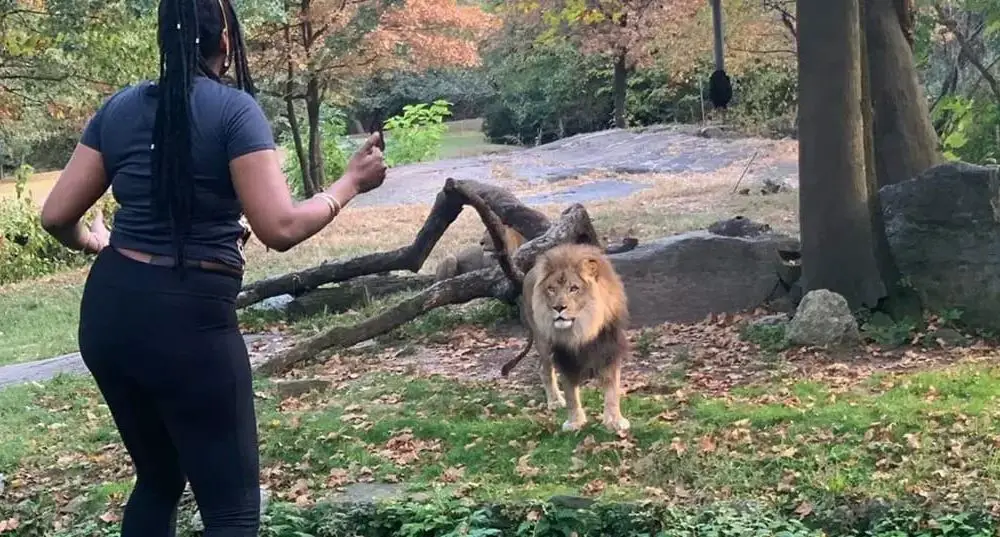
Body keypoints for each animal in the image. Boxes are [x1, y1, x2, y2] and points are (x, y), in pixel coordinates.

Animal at [500, 242, 632, 432]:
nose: (558, 307)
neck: (582, 329)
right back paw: (555, 401)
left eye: (574, 288)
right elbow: (571, 393)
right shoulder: (563, 356)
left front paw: (615, 421)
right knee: (544, 370)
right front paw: (574, 422)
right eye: (551, 289)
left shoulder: (609, 349)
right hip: (543, 342)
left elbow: (612, 390)